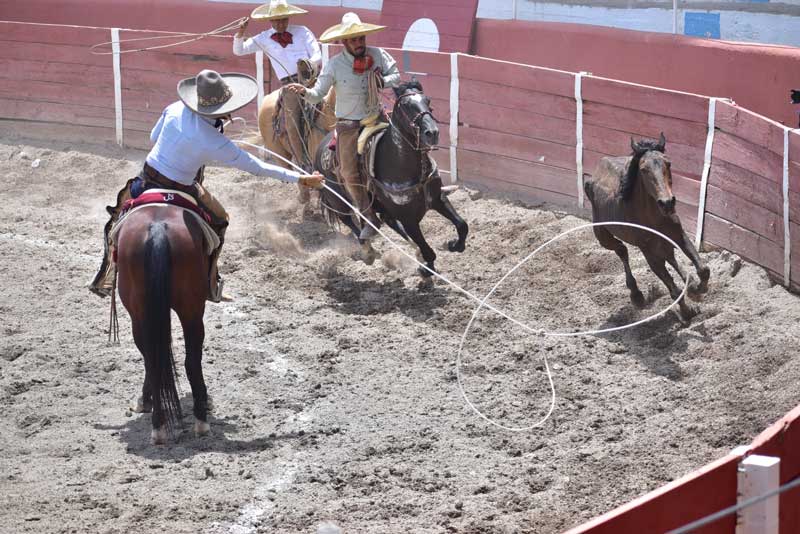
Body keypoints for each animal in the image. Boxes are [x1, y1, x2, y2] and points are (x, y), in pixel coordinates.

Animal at [115, 203, 211, 446]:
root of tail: (157, 229)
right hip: (191, 310)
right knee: (191, 361)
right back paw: (201, 420)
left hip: (141, 314)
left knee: (153, 361)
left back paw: (158, 427)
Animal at [310, 81, 466, 278]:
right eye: (406, 105)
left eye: (427, 100)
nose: (432, 133)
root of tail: (321, 146)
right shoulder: (408, 218)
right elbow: (427, 249)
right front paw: (426, 268)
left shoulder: (438, 199)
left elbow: (462, 224)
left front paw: (455, 245)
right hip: (339, 201)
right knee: (352, 222)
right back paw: (368, 252)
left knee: (385, 223)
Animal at [584, 136, 708, 324]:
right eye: (643, 169)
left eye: (668, 163)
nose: (667, 203)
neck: (652, 215)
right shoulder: (648, 252)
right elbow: (673, 289)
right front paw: (687, 312)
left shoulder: (678, 235)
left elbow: (702, 268)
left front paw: (698, 289)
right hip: (603, 237)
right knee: (622, 251)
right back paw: (636, 295)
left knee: (669, 256)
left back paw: (691, 283)